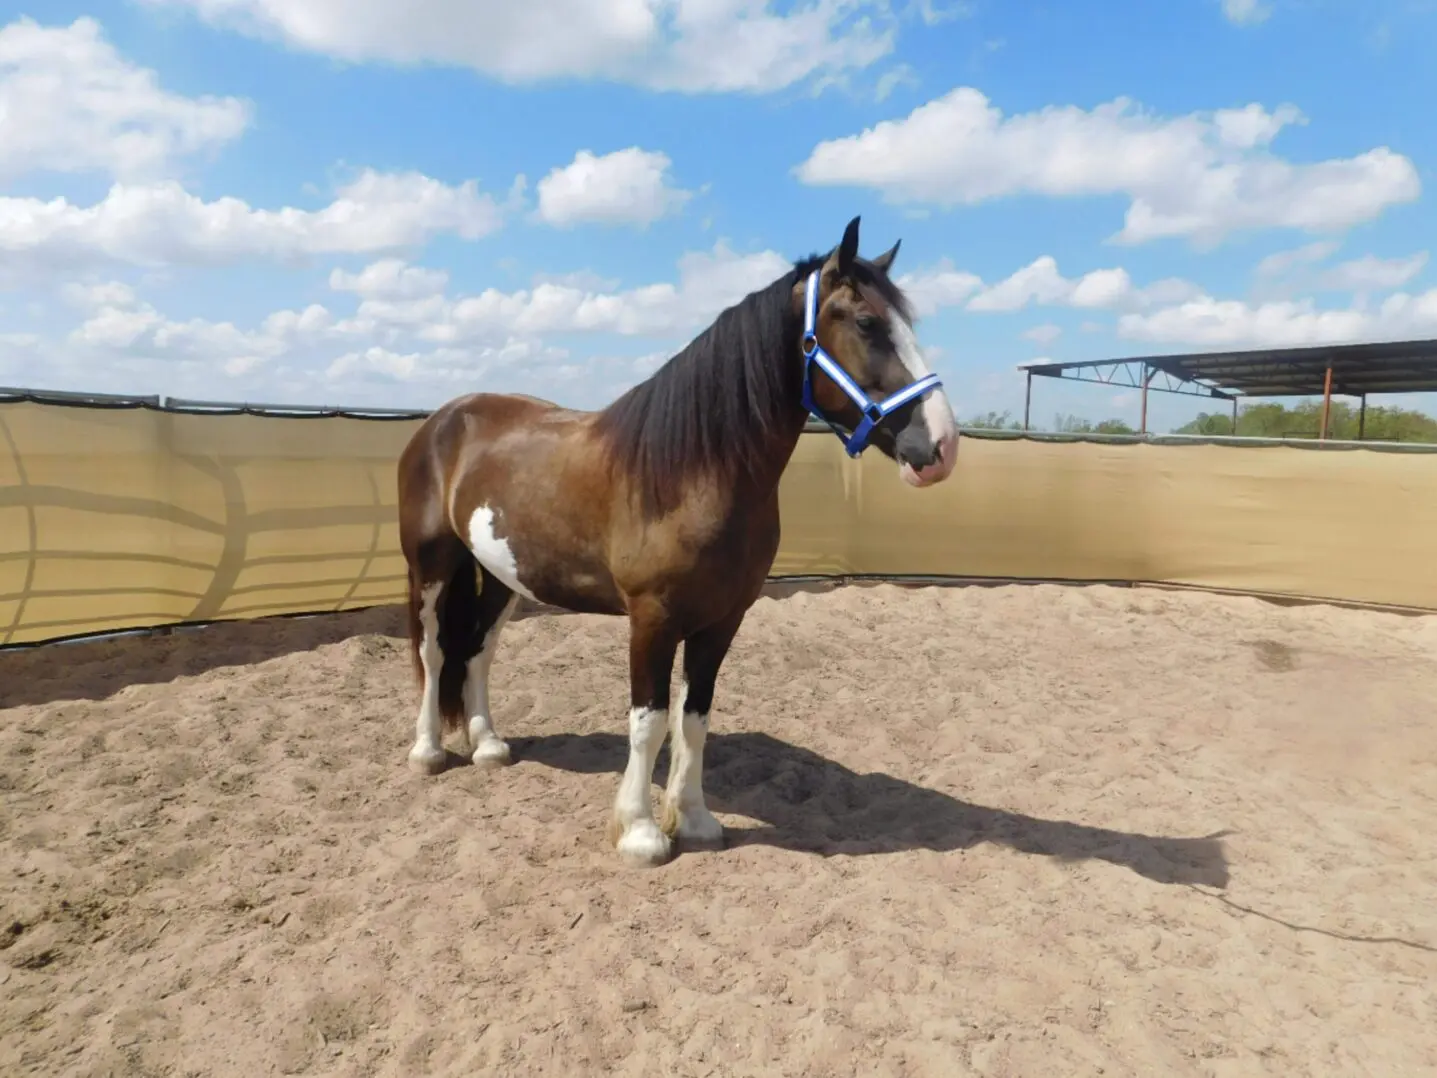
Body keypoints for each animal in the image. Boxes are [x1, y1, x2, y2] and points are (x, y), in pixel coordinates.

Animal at [396, 215, 959, 867]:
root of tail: (444, 420)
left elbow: (694, 719)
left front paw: (692, 818)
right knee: (433, 651)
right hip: (432, 566)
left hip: (502, 575)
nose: (943, 445)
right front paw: (640, 831)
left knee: (479, 651)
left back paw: (488, 743)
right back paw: (429, 751)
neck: (695, 471)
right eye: (868, 323)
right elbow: (650, 721)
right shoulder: (653, 619)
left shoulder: (722, 619)